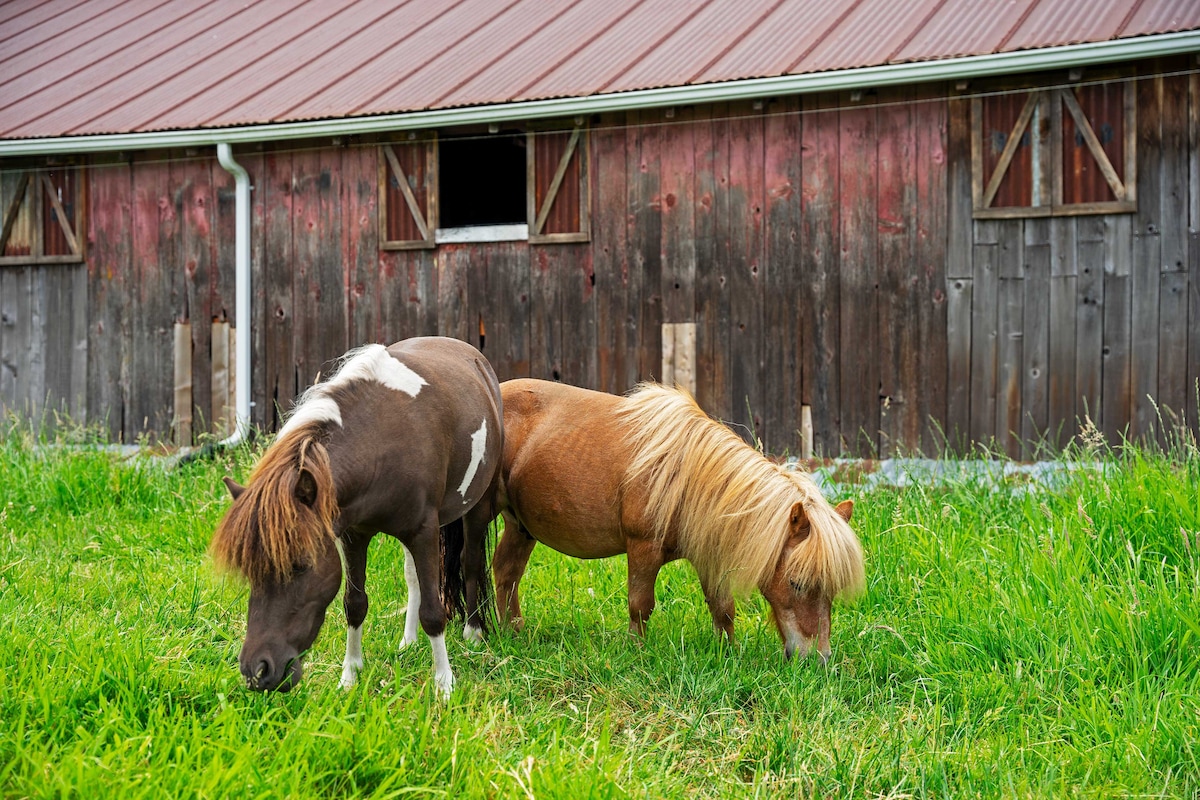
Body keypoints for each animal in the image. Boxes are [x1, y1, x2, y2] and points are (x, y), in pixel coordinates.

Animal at [211, 335, 501, 695]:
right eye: (250, 571)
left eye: (300, 565)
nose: (257, 670)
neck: (381, 443)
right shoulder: (354, 535)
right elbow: (355, 603)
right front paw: (349, 676)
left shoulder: (423, 531)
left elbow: (434, 612)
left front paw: (444, 685)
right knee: (413, 577)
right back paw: (408, 640)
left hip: (476, 508)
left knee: (470, 562)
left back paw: (473, 633)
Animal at [494, 381, 864, 662]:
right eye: (797, 584)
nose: (818, 659)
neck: (687, 477)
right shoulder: (643, 549)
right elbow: (640, 606)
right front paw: (637, 653)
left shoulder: (708, 556)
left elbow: (722, 609)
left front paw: (728, 654)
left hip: (521, 528)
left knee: (506, 573)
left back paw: (513, 632)